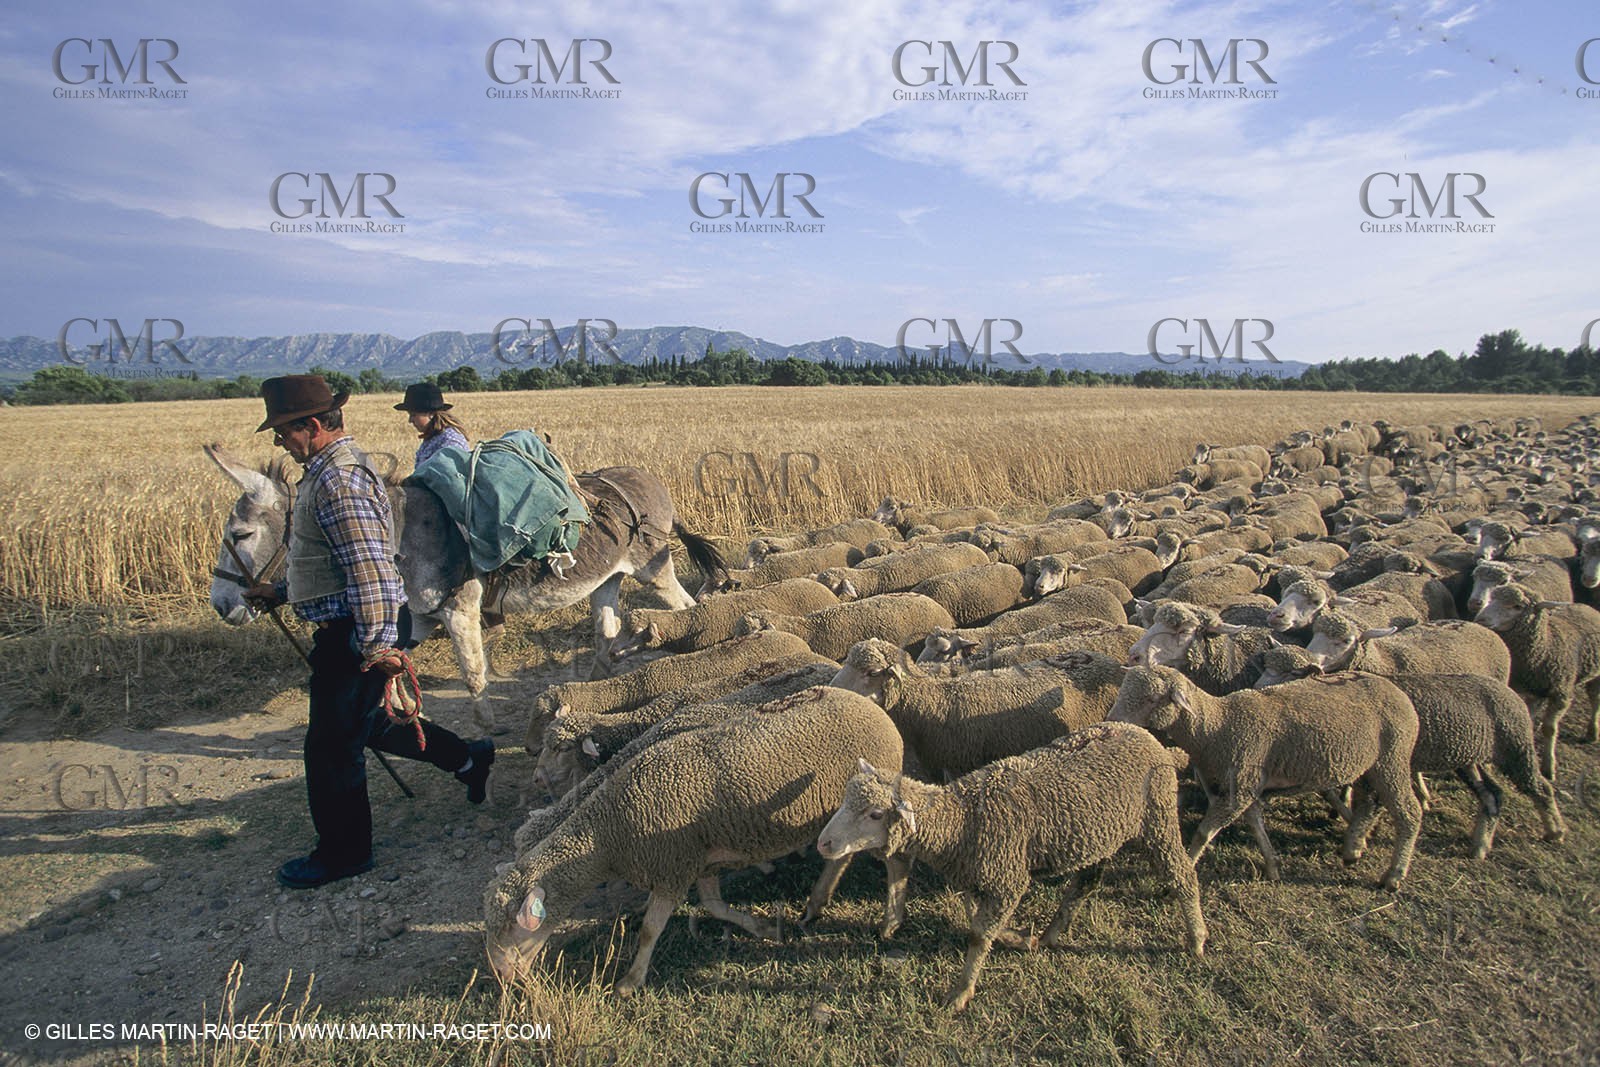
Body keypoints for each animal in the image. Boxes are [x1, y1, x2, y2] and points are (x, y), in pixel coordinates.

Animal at [484, 686, 905, 992]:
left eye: (510, 929)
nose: (503, 978)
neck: (607, 834)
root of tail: (872, 708)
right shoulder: (697, 859)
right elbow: (715, 907)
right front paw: (763, 929)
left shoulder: (672, 869)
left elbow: (650, 931)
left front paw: (630, 981)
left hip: (856, 812)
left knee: (849, 856)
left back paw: (824, 903)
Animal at [816, 723, 1206, 1013]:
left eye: (875, 814)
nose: (824, 844)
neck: (963, 821)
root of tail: (1153, 741)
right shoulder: (979, 876)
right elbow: (976, 921)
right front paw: (1017, 939)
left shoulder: (1007, 878)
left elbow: (978, 934)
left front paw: (960, 993)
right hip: (1100, 834)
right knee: (1085, 883)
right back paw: (1050, 935)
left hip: (1157, 818)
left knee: (1182, 875)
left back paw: (1197, 938)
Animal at [1108, 665, 1423, 889]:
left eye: (1152, 698)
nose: (1111, 722)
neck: (1216, 728)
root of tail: (1395, 689)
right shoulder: (1242, 787)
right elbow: (1255, 822)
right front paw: (1272, 866)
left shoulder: (1240, 786)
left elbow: (1203, 833)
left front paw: (1188, 862)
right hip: (1372, 765)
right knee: (1370, 803)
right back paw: (1353, 849)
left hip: (1393, 757)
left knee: (1409, 810)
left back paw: (1393, 876)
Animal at [1251, 662, 1564, 857]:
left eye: (1289, 672)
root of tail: (1510, 692)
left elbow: (1369, 803)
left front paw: (1359, 834)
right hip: (1470, 760)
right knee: (1492, 794)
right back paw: (1480, 847)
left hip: (1516, 748)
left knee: (1540, 787)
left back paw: (1555, 831)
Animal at [1474, 582, 1600, 780]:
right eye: (1492, 598)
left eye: (1517, 606)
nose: (1481, 619)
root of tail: (1586, 606)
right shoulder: (1524, 692)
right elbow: (1528, 721)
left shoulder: (1561, 695)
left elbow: (1549, 729)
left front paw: (1548, 768)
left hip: (1595, 675)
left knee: (1595, 698)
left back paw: (1592, 732)